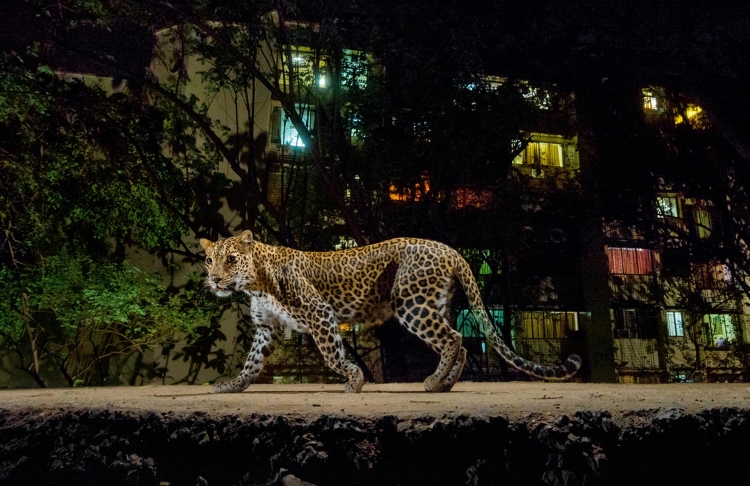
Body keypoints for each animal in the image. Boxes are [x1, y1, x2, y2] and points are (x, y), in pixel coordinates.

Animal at [203, 230, 584, 392]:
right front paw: (233, 386)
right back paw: (445, 384)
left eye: (231, 259)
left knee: (453, 338)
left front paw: (354, 380)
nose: (215, 279)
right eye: (209, 260)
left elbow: (332, 355)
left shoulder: (319, 313)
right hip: (432, 304)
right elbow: (251, 362)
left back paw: (433, 382)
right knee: (460, 341)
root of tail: (450, 249)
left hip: (411, 304)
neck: (256, 282)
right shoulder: (267, 329)